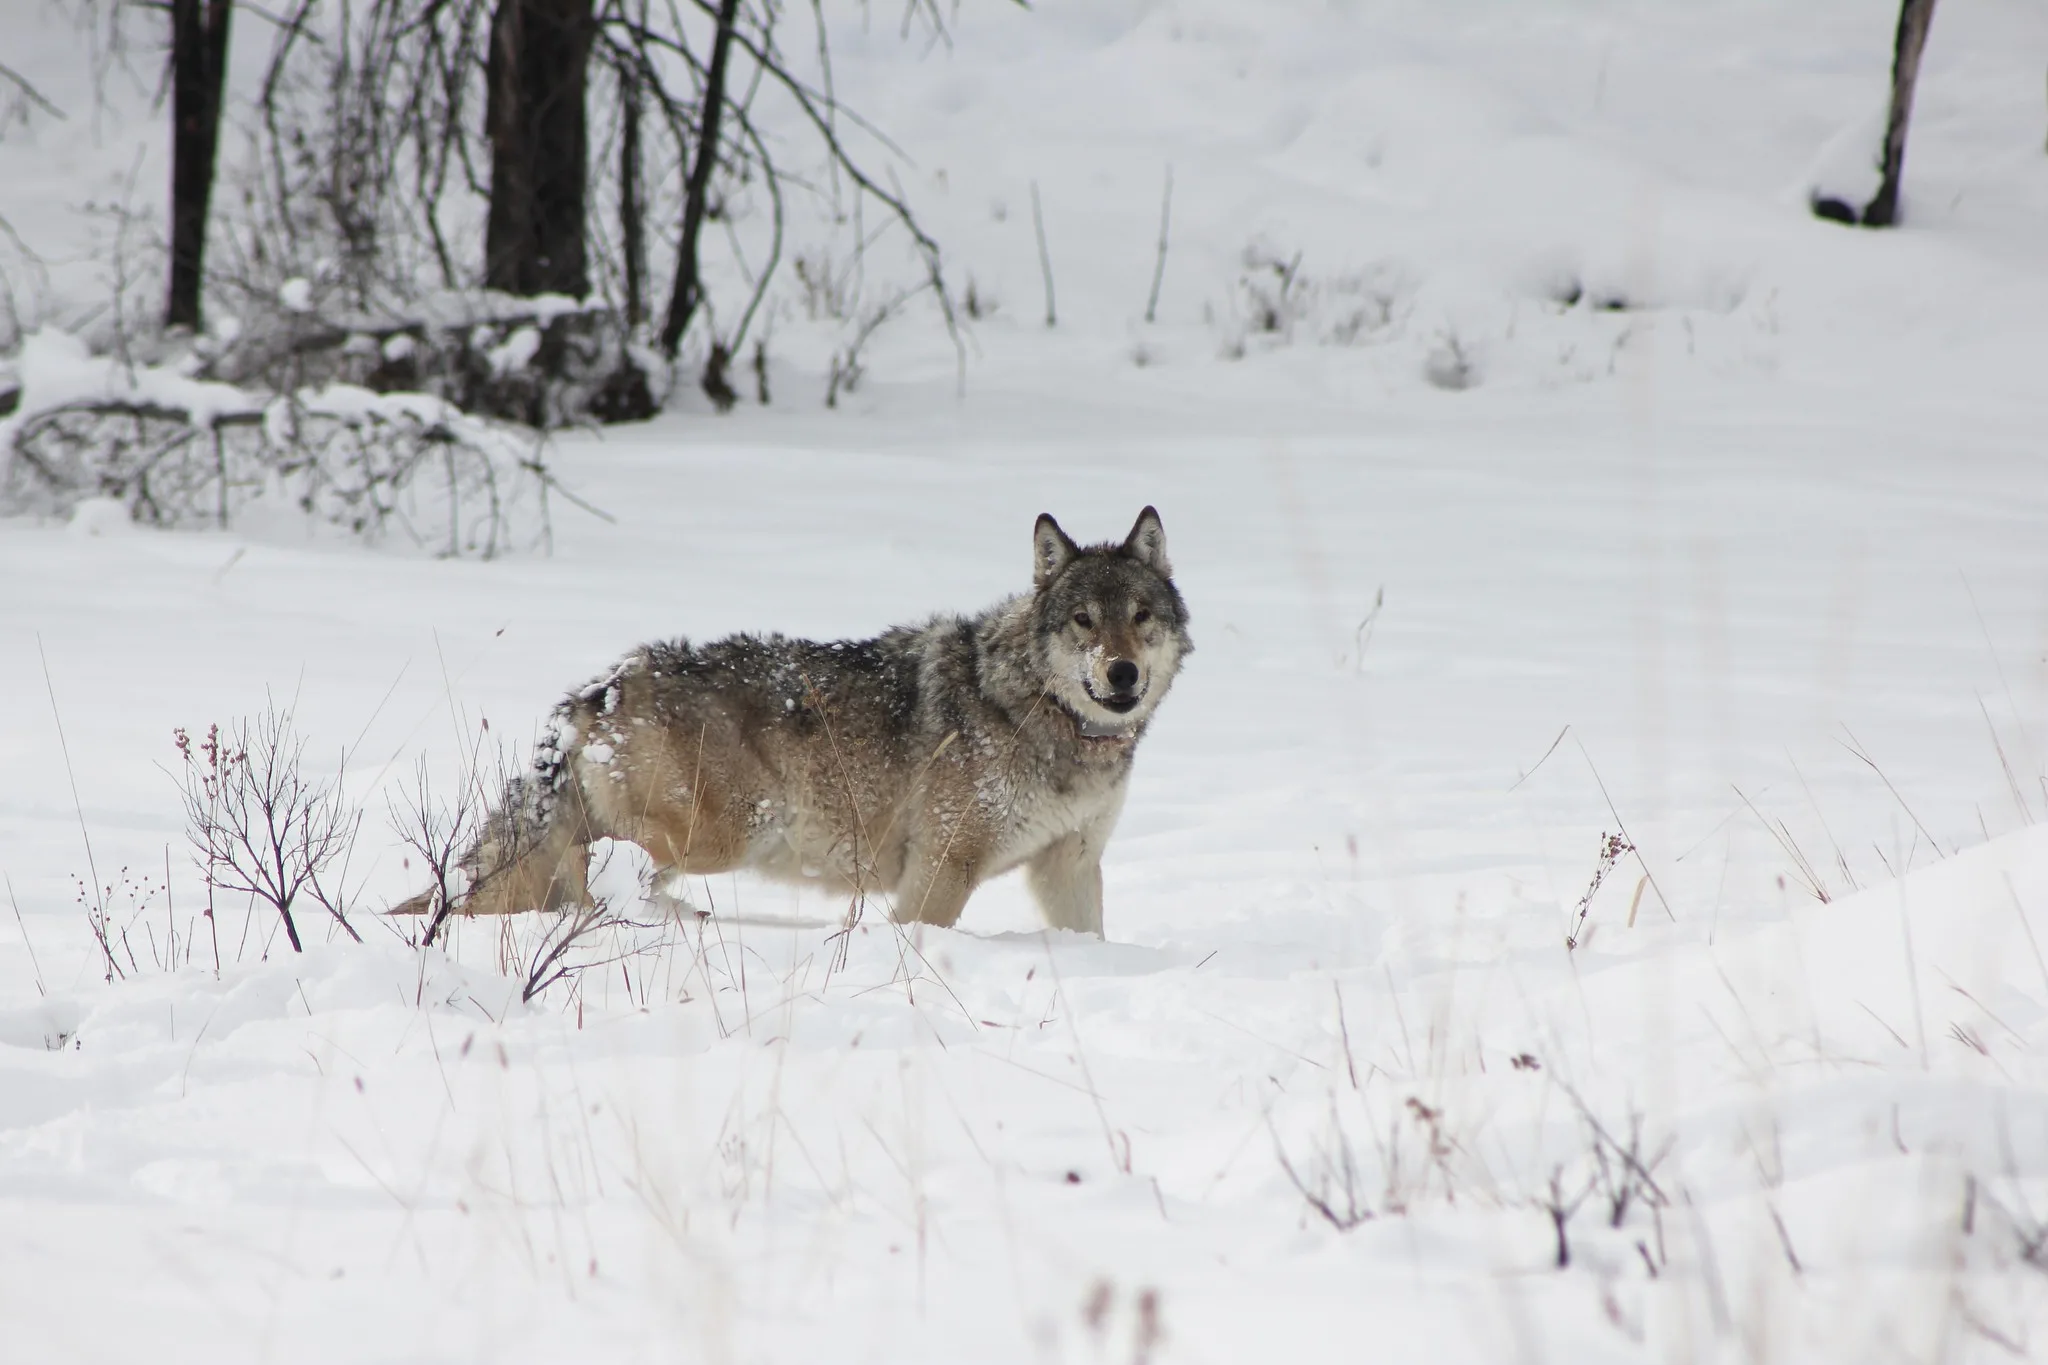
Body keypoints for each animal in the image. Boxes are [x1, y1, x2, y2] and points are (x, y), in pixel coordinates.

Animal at [393, 507, 1196, 933]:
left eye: (1140, 617)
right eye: (1084, 621)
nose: (1122, 674)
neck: (1041, 714)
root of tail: (602, 687)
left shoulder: (1072, 866)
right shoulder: (942, 869)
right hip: (727, 832)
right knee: (608, 875)